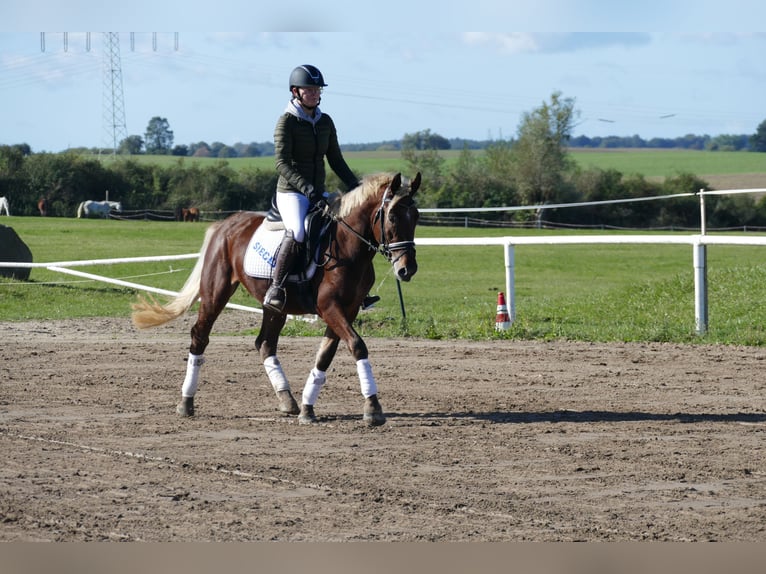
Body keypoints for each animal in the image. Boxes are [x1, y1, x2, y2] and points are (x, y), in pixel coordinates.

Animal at [130, 171, 420, 428]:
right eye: (392, 217)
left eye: (416, 217)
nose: (407, 270)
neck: (348, 245)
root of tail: (224, 225)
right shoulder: (329, 307)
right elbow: (358, 346)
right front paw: (373, 407)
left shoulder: (346, 311)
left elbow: (325, 356)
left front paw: (307, 408)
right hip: (216, 292)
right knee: (200, 335)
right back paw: (186, 402)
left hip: (276, 306)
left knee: (265, 343)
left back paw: (287, 400)